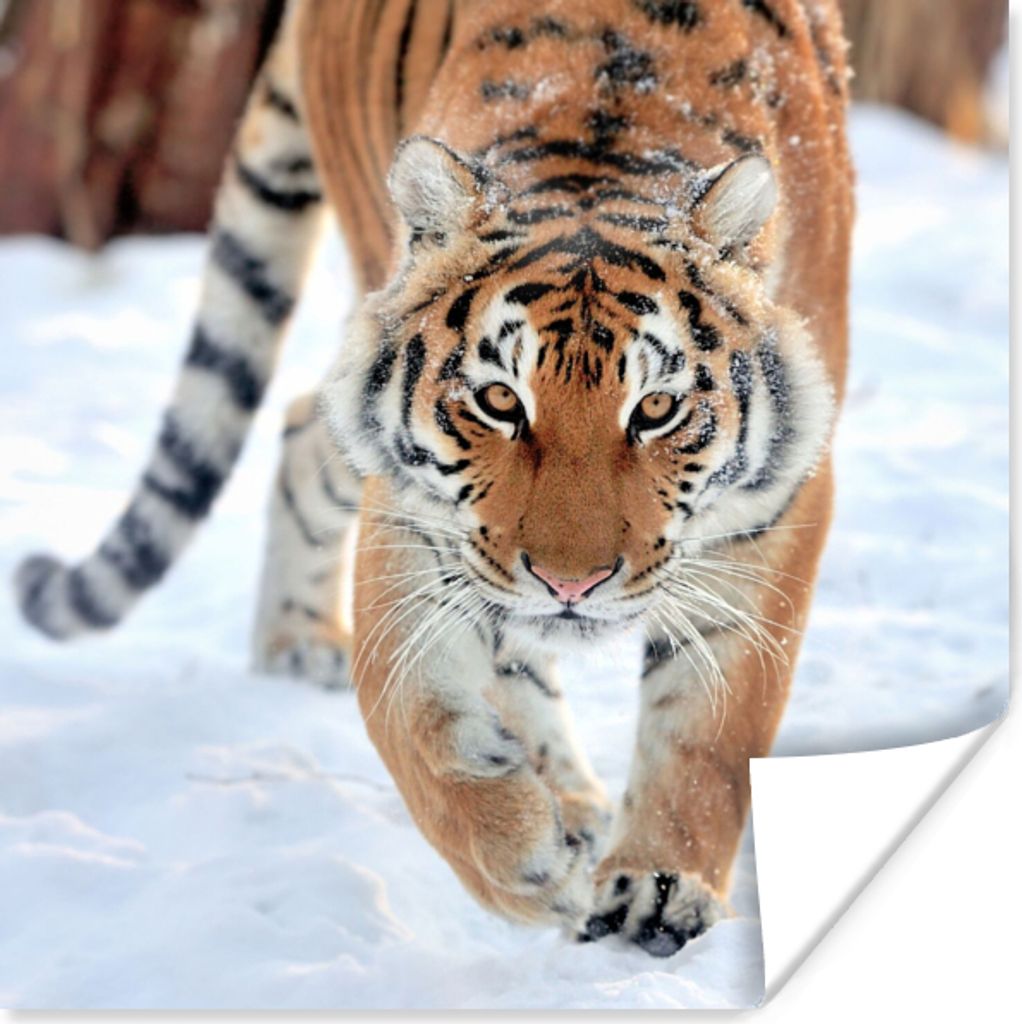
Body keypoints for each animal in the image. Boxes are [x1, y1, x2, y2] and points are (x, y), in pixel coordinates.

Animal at [15, 0, 853, 956]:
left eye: (654, 410)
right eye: (498, 400)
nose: (571, 583)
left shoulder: (781, 501)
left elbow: (712, 731)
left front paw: (657, 887)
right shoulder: (418, 511)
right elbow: (412, 716)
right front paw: (527, 863)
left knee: (302, 425)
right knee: (310, 430)